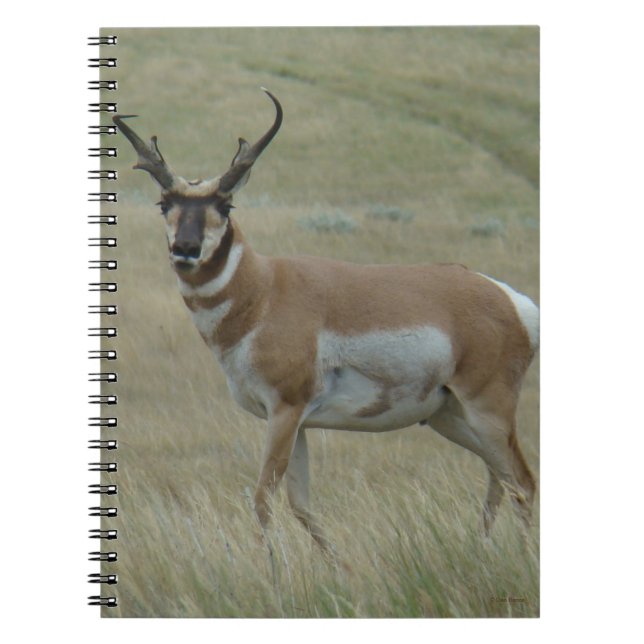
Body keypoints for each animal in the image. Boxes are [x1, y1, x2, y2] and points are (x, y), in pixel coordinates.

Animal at [114, 89, 539, 552]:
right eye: (164, 203)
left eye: (225, 204)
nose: (186, 249)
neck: (264, 290)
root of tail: (509, 298)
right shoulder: (297, 421)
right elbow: (301, 504)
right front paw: (338, 564)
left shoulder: (285, 410)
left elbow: (263, 498)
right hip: (450, 416)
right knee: (500, 478)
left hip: (488, 408)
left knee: (523, 482)